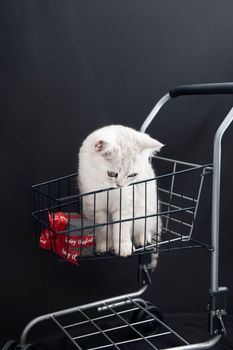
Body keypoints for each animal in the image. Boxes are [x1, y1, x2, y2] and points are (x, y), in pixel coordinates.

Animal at [77, 124, 163, 264]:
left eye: (132, 175)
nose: (120, 185)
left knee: (147, 227)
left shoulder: (125, 203)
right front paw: (104, 245)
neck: (108, 189)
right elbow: (103, 227)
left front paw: (123, 247)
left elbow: (122, 227)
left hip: (148, 209)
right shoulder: (95, 205)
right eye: (112, 174)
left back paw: (142, 238)